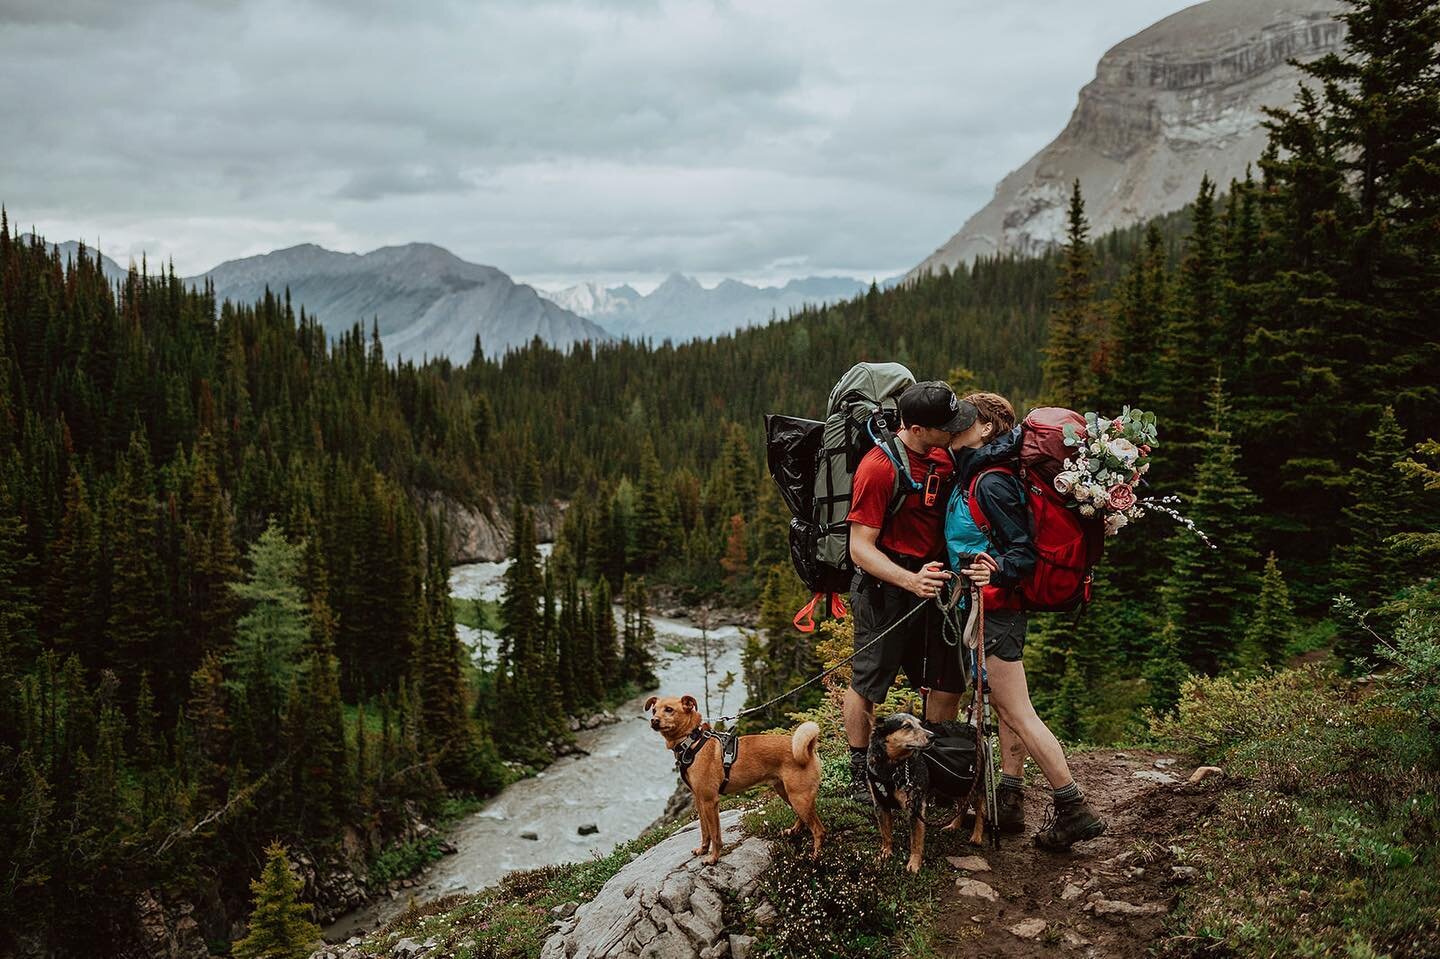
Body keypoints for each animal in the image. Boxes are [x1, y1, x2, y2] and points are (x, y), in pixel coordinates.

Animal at [648, 691, 829, 863]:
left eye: (669, 709)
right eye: (654, 710)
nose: (653, 721)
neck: (693, 742)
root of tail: (809, 748)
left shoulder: (710, 801)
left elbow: (715, 834)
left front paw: (713, 858)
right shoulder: (700, 801)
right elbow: (705, 831)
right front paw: (703, 850)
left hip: (799, 797)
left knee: (819, 830)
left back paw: (816, 857)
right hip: (786, 793)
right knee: (804, 819)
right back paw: (794, 831)